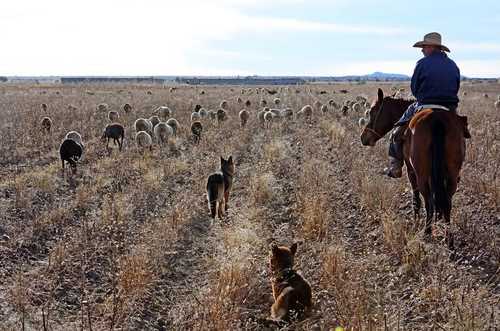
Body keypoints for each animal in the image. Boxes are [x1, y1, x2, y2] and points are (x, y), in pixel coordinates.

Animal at [362, 88, 466, 239]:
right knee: (447, 202)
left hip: (421, 174)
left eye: (372, 111)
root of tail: (437, 120)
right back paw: (448, 236)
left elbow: (416, 198)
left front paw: (415, 221)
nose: (363, 137)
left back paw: (427, 231)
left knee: (428, 201)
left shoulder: (410, 170)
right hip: (452, 175)